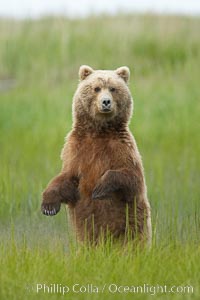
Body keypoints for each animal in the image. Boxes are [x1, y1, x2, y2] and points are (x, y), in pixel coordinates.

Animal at [41, 65, 152, 246]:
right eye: (96, 88)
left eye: (113, 88)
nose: (106, 102)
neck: (99, 132)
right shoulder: (76, 150)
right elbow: (67, 177)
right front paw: (48, 206)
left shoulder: (122, 148)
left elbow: (131, 177)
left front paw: (99, 188)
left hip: (132, 225)